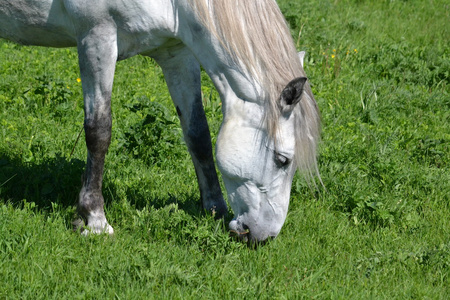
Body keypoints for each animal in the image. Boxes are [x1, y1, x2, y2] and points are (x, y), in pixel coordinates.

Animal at [1, 0, 322, 243]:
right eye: (282, 159)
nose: (263, 235)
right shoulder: (96, 37)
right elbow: (98, 131)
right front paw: (95, 219)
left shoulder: (176, 52)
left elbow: (198, 134)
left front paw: (214, 208)